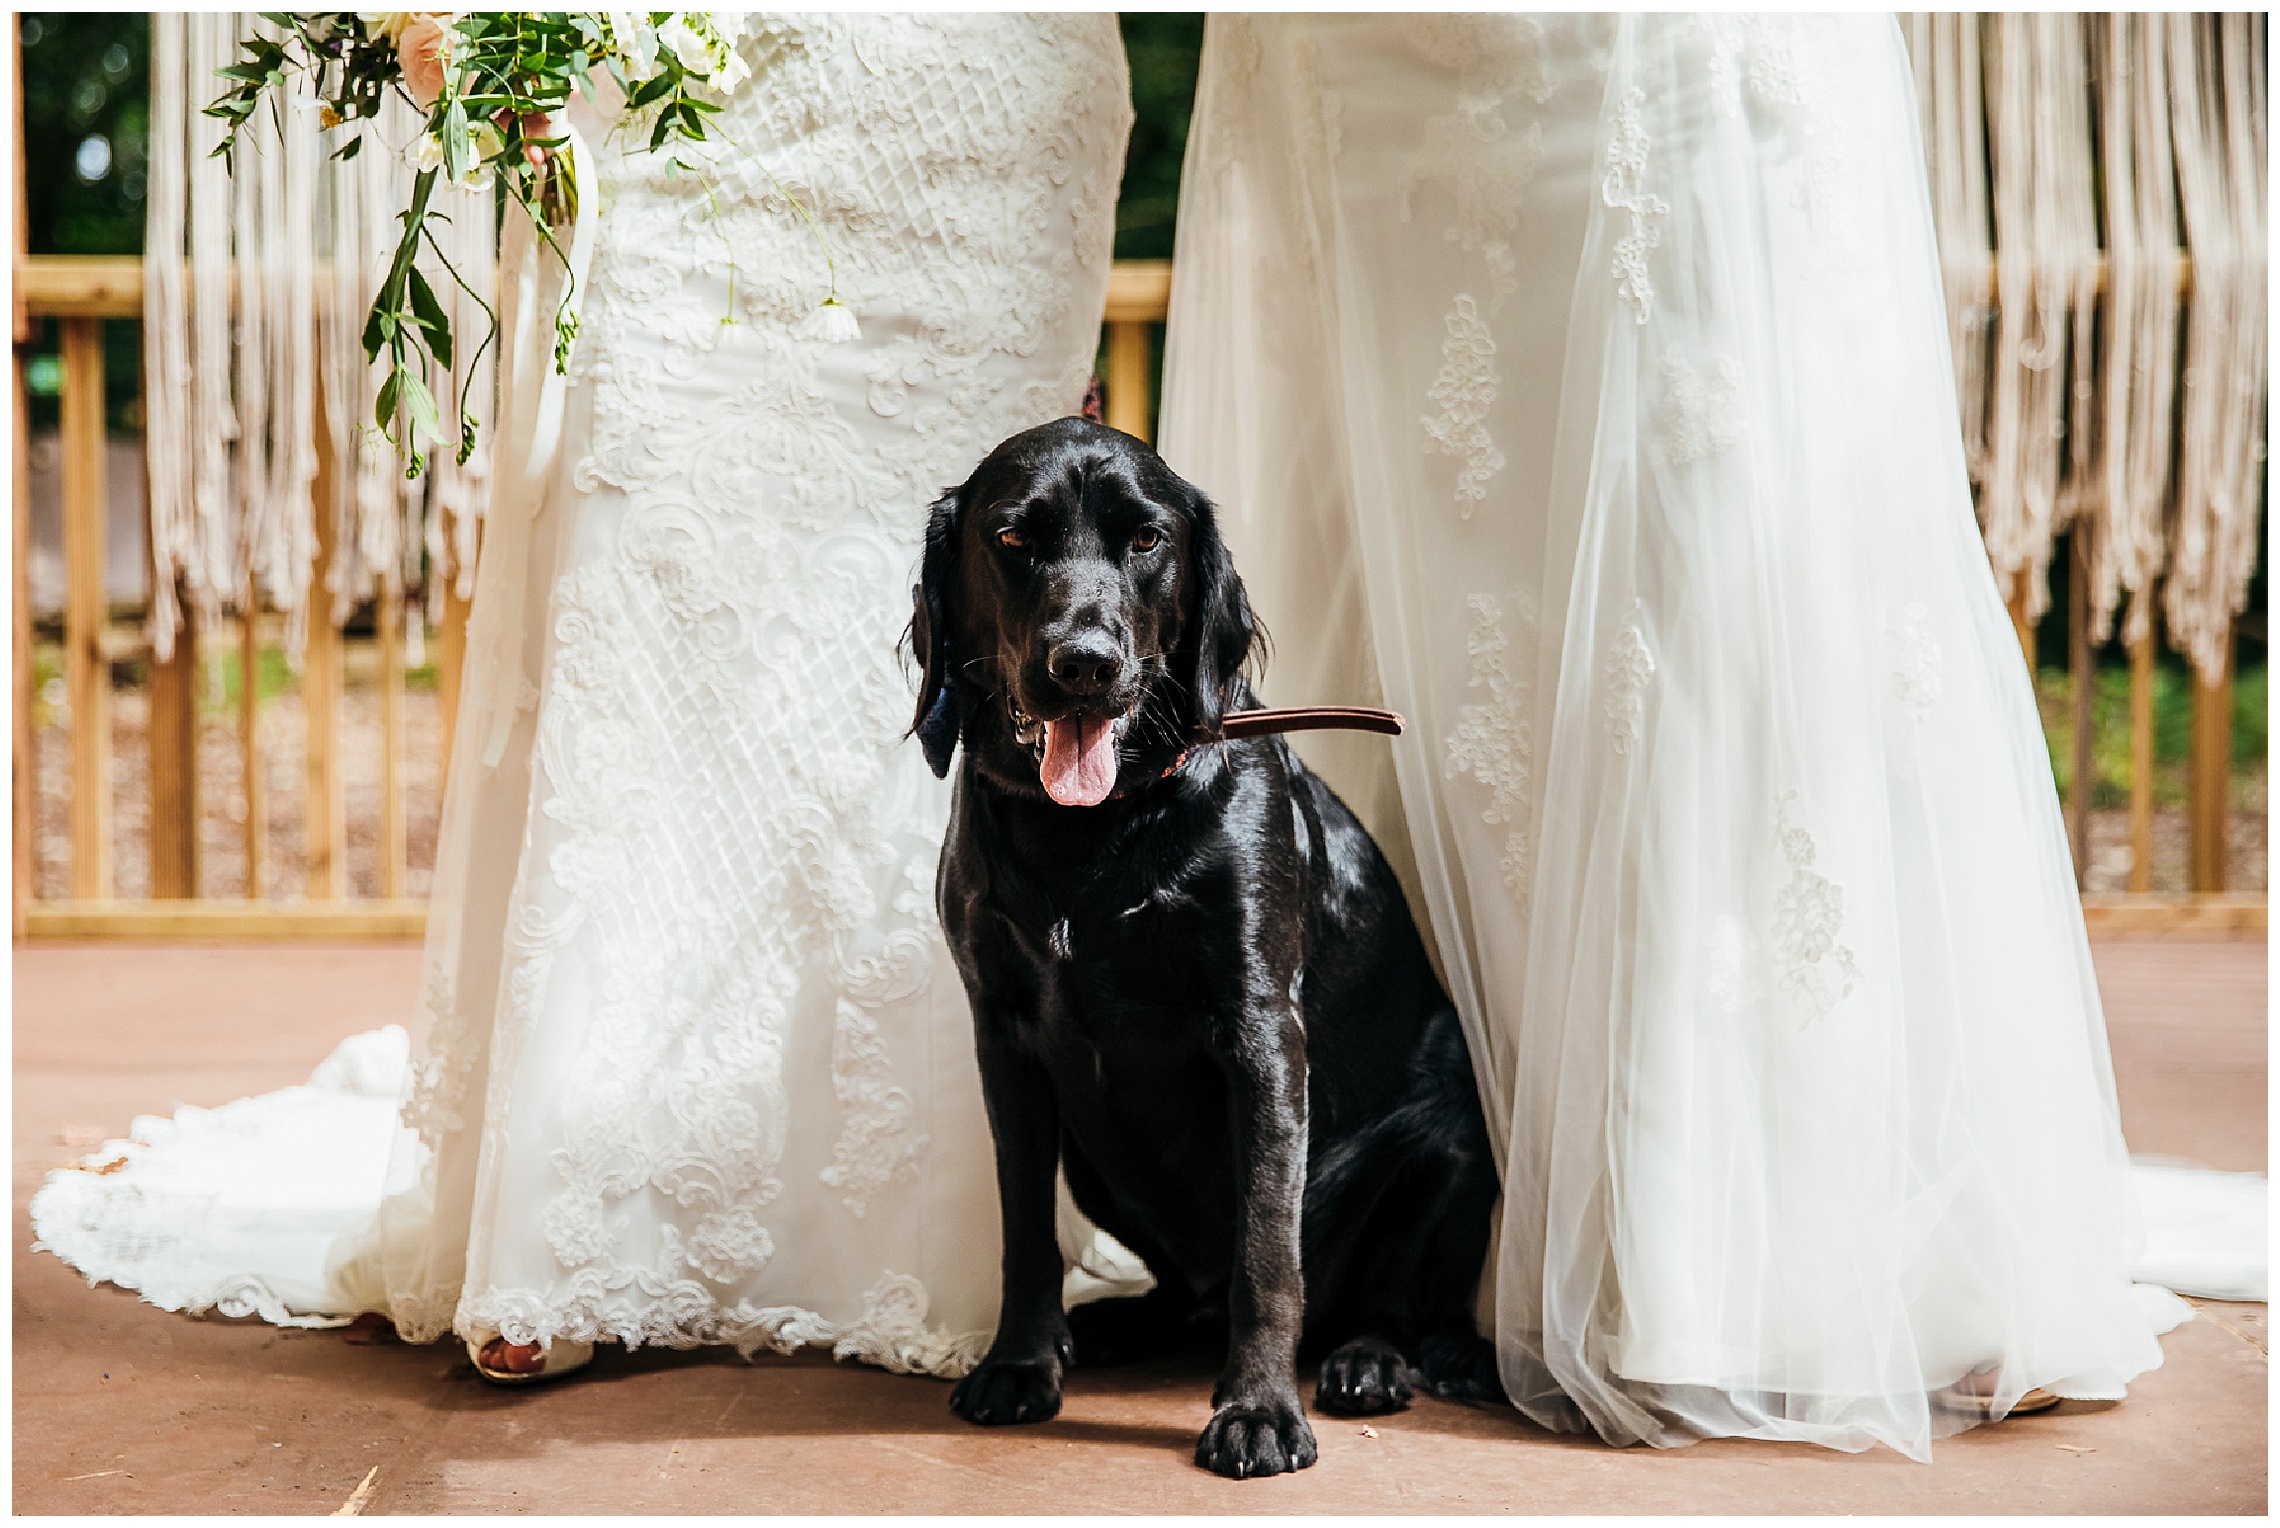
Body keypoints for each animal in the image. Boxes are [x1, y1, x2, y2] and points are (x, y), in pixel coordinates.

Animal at [898, 421, 1504, 1486]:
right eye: (1012, 539)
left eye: (1147, 540)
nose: (1085, 663)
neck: (1091, 838)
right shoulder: (1004, 1038)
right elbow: (1024, 1230)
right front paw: (1019, 1362)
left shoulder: (1259, 1030)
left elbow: (1268, 1249)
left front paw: (1259, 1410)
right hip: (1095, 1159)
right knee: (1190, 1295)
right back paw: (1105, 1326)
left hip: (1450, 1135)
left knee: (1381, 1303)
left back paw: (1365, 1362)